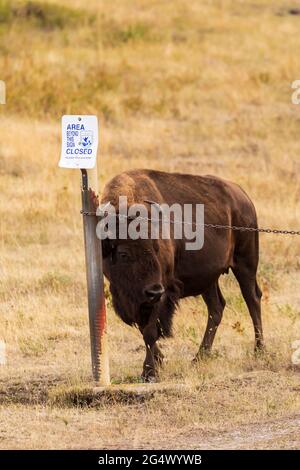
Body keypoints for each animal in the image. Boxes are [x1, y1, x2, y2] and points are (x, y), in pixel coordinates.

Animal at [99, 170, 264, 382]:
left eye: (156, 247)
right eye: (123, 253)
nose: (154, 291)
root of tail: (242, 196)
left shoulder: (162, 292)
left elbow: (150, 331)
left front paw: (149, 372)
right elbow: (143, 328)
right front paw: (158, 361)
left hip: (246, 263)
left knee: (252, 299)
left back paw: (259, 350)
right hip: (209, 279)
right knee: (217, 308)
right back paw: (199, 357)